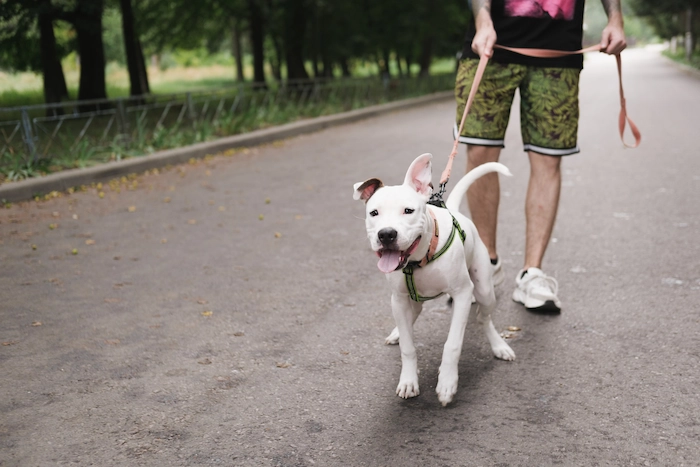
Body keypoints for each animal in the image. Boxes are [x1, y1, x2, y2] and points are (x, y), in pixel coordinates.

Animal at [356, 153, 516, 406]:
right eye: (374, 213)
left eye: (408, 210)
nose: (386, 234)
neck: (418, 260)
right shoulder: (399, 300)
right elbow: (408, 347)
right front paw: (408, 381)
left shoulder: (462, 294)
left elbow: (452, 344)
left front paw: (447, 383)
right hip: (411, 302)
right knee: (412, 319)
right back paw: (397, 332)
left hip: (483, 290)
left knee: (484, 318)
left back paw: (499, 345)